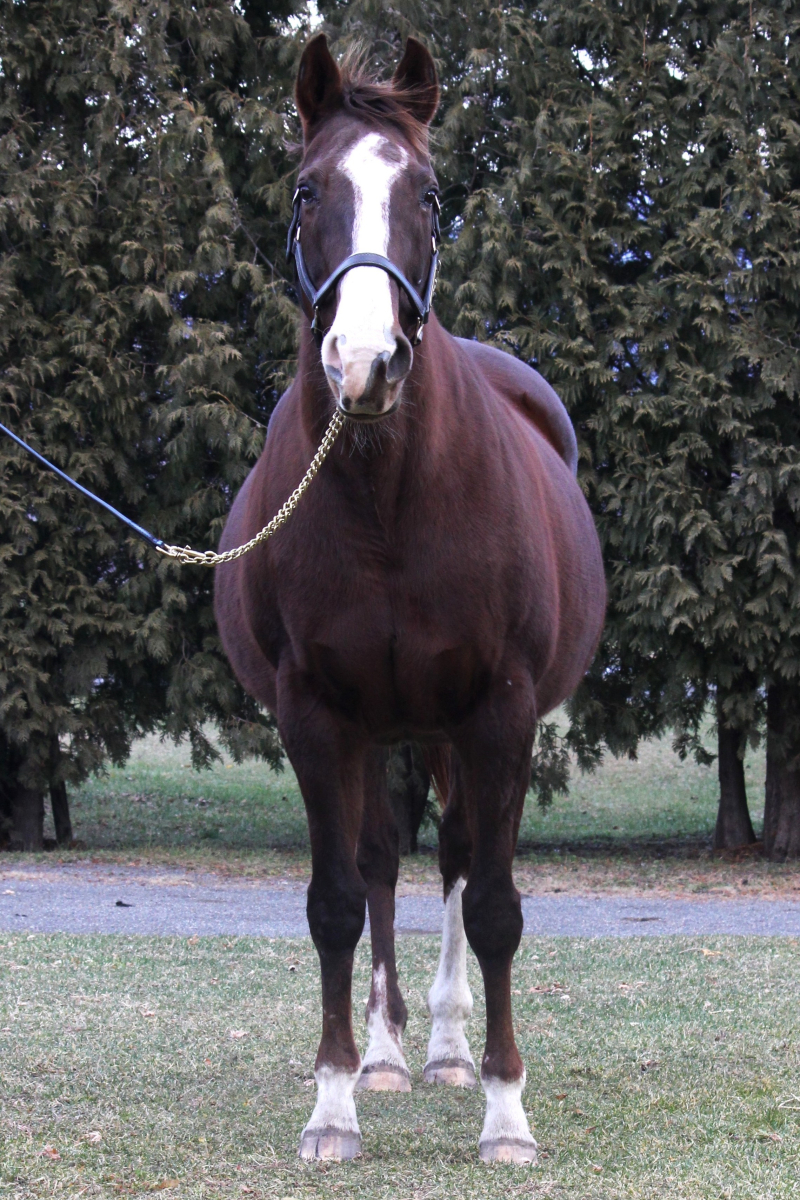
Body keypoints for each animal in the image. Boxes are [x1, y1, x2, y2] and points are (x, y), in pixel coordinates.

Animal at [215, 33, 605, 1165]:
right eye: (307, 190)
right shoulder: (313, 715)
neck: (387, 496)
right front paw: (335, 1100)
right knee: (386, 864)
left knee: (459, 863)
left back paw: (442, 1048)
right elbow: (337, 902)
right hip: (380, 729)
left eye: (427, 195)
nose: (365, 362)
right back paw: (388, 1055)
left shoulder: (499, 711)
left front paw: (506, 1112)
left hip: (447, 727)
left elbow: (496, 906)